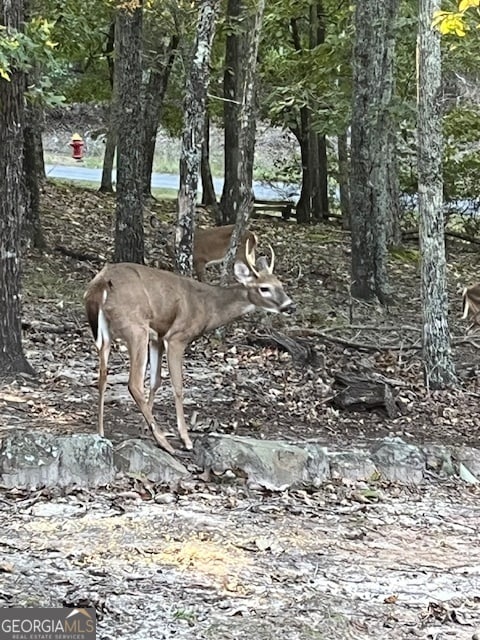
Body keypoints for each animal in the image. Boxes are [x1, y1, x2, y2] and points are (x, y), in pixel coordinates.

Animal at [84, 241, 294, 456]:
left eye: (280, 285)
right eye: (264, 288)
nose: (289, 306)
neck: (208, 307)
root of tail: (101, 283)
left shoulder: (158, 337)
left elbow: (155, 382)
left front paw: (145, 429)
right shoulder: (177, 337)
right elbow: (178, 386)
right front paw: (185, 439)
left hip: (105, 333)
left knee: (102, 376)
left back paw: (101, 433)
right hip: (136, 327)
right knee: (133, 383)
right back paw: (165, 443)